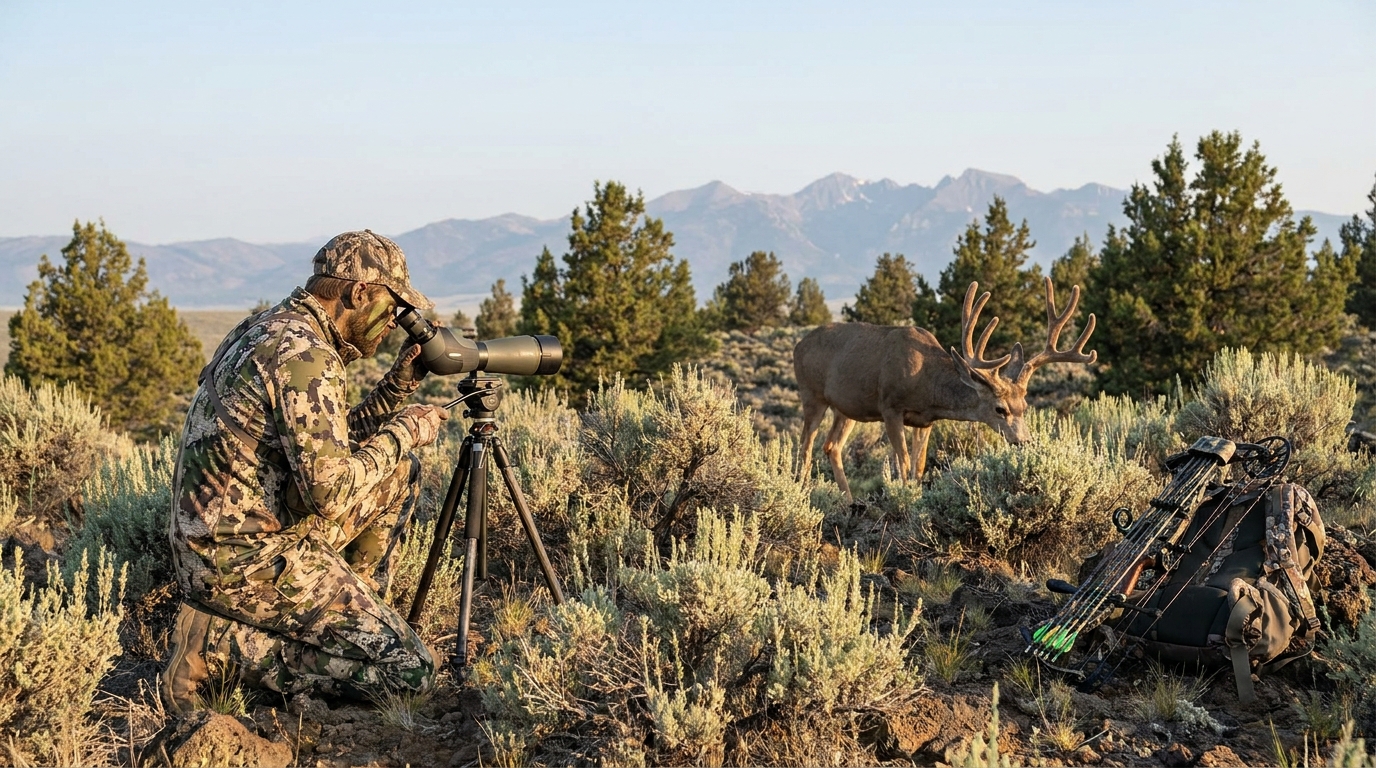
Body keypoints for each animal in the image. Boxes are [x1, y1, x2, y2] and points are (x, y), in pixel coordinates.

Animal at [793, 276, 1096, 503]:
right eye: (1000, 409)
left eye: (1025, 406)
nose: (1024, 441)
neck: (927, 383)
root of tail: (798, 345)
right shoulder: (890, 406)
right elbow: (903, 462)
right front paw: (904, 500)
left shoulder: (925, 421)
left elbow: (918, 466)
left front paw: (915, 496)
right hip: (811, 395)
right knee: (805, 446)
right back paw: (803, 493)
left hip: (847, 409)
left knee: (831, 446)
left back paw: (848, 501)